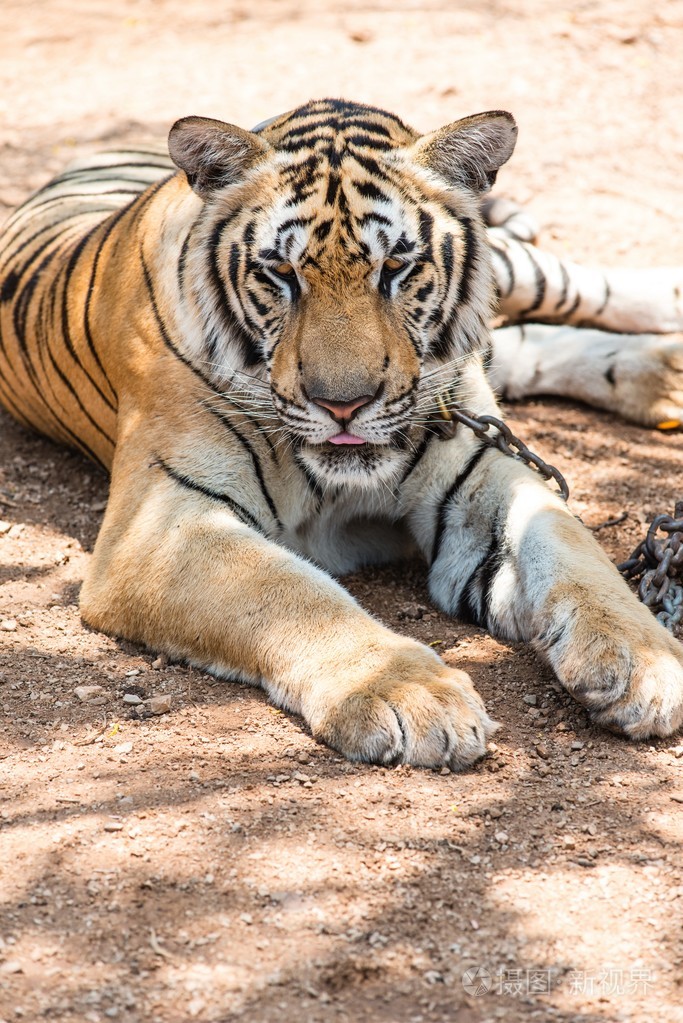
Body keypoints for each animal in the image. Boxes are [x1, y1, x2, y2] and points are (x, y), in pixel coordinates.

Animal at [0, 97, 682, 771]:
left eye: (396, 267)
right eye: (280, 272)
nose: (343, 404)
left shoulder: (483, 471)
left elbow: (568, 544)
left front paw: (646, 662)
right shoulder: (159, 526)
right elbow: (290, 592)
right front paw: (411, 696)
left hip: (513, 274)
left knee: (563, 286)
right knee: (516, 342)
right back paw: (661, 376)